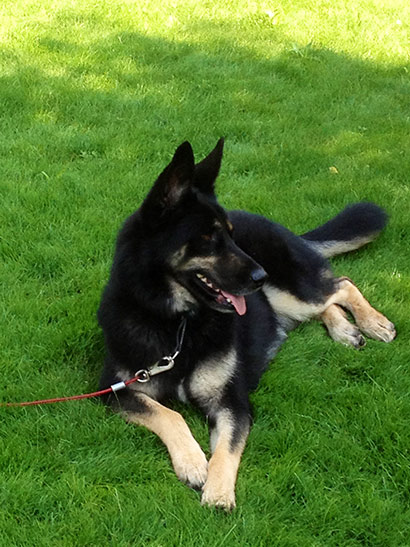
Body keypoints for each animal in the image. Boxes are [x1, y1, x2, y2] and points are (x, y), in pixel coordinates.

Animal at [98, 139, 395, 510]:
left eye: (230, 235)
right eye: (208, 237)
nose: (260, 276)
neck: (179, 325)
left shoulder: (232, 402)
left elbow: (226, 449)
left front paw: (218, 492)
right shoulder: (117, 390)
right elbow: (169, 414)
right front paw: (193, 462)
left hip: (292, 290)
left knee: (341, 284)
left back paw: (373, 322)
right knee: (326, 301)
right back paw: (345, 330)